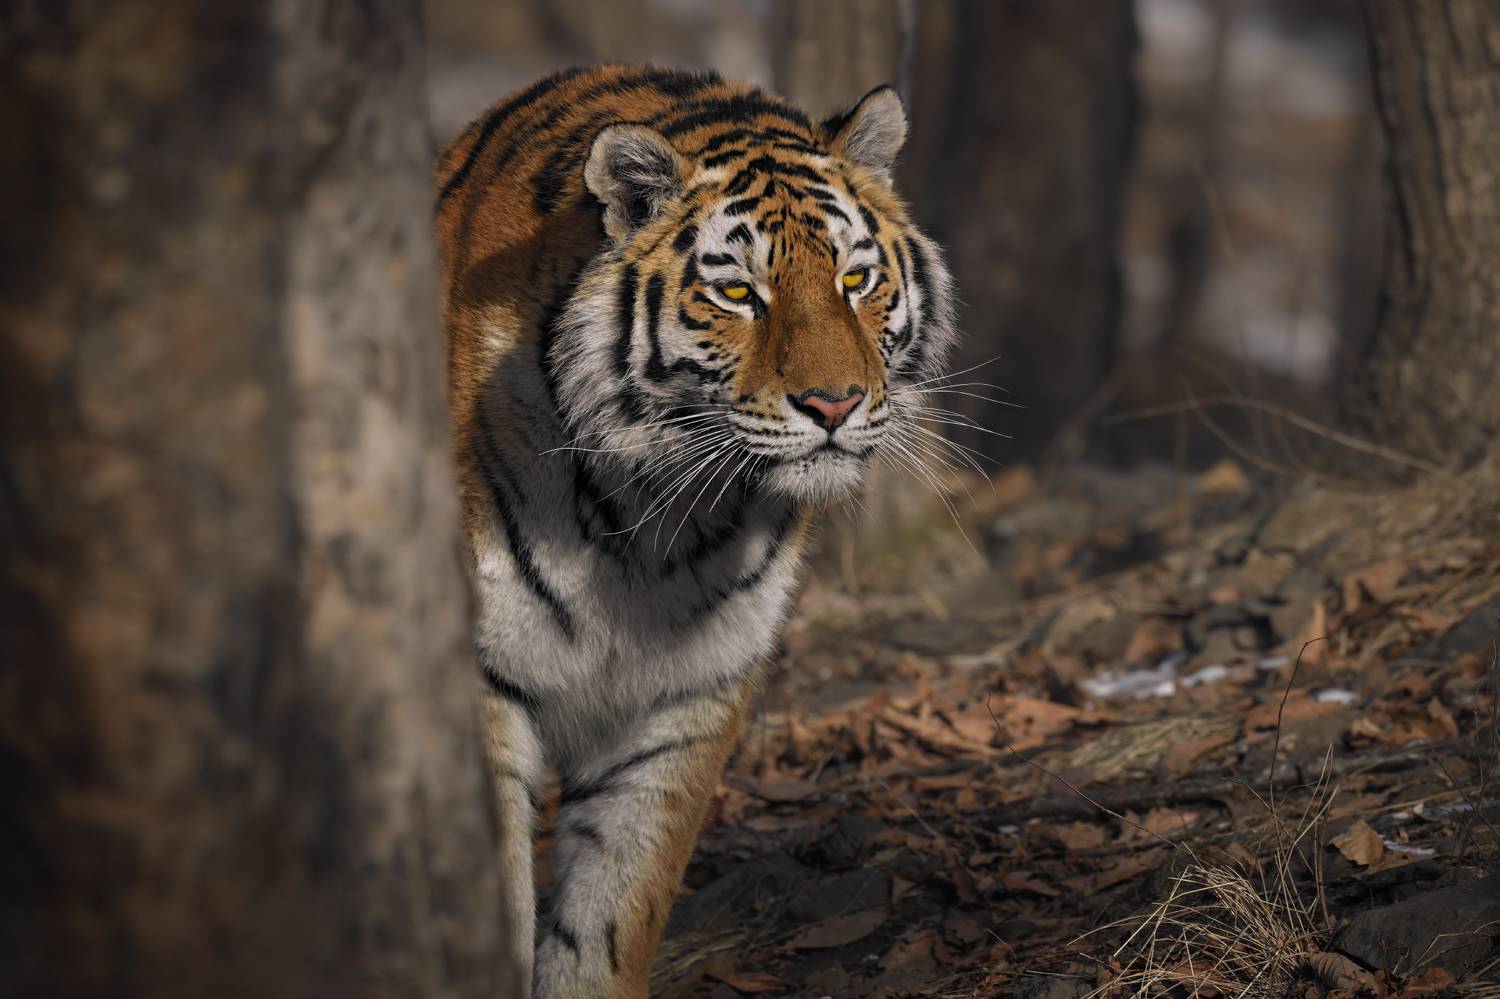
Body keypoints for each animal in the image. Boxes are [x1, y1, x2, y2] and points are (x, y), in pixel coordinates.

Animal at [434, 64, 956, 998]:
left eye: (857, 281)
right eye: (738, 292)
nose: (835, 405)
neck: (653, 517)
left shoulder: (687, 692)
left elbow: (612, 912)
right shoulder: (481, 683)